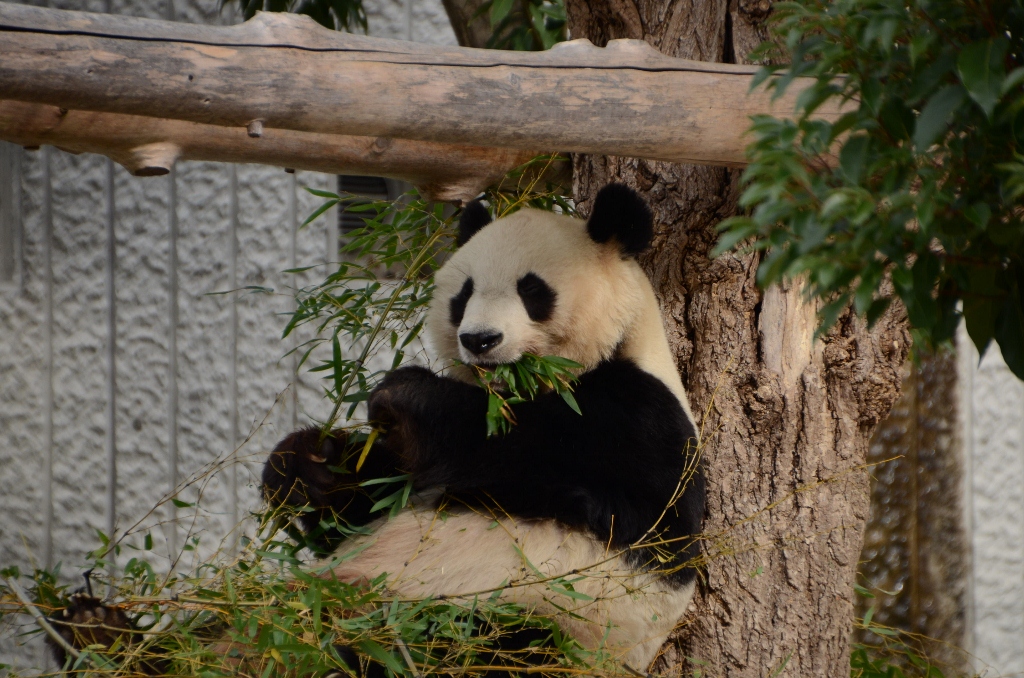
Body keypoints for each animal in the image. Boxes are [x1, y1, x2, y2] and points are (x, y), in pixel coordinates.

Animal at [46, 183, 704, 675]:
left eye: (532, 290)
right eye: (462, 295)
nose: (479, 340)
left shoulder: (641, 416)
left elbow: (611, 498)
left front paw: (401, 397)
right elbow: (367, 499)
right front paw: (306, 464)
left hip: (510, 626)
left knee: (409, 649)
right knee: (215, 631)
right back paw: (97, 634)